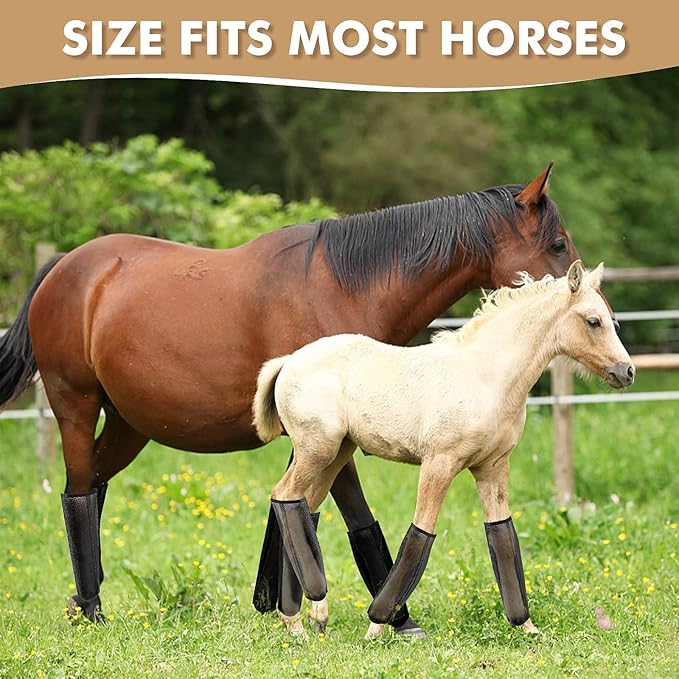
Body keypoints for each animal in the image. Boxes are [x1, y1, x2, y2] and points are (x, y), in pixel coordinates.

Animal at [0, 163, 580, 636]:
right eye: (557, 244)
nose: (587, 297)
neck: (343, 288)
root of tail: (64, 267)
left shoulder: (324, 438)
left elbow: (301, 512)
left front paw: (278, 604)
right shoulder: (335, 436)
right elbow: (352, 516)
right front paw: (393, 617)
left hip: (129, 424)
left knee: (93, 488)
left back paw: (83, 602)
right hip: (76, 407)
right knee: (78, 495)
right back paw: (92, 610)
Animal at [253, 261, 634, 639]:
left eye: (612, 320)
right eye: (593, 321)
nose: (627, 371)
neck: (485, 378)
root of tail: (288, 360)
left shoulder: (494, 467)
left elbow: (502, 535)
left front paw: (527, 627)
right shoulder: (440, 462)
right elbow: (421, 532)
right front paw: (377, 625)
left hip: (336, 454)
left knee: (305, 506)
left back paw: (303, 616)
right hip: (317, 449)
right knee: (284, 495)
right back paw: (298, 620)